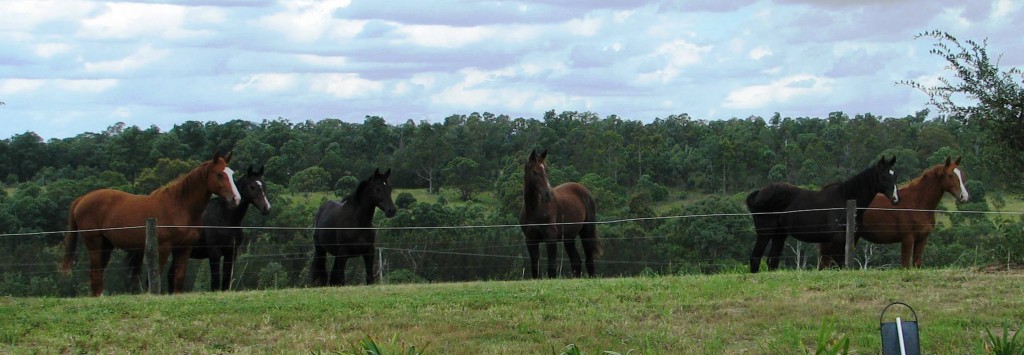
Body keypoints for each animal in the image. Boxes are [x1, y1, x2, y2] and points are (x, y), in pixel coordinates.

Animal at [61, 151, 239, 296]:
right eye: (219, 174)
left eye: (231, 173)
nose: (235, 199)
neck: (179, 206)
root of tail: (82, 199)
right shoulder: (163, 248)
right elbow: (156, 274)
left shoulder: (184, 248)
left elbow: (179, 277)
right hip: (95, 243)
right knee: (95, 273)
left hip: (106, 245)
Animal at [125, 165, 270, 292]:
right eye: (252, 186)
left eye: (263, 185)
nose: (266, 208)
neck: (225, 220)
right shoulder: (214, 253)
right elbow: (215, 282)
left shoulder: (231, 253)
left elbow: (225, 282)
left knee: (171, 275)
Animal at [520, 148, 598, 280]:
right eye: (534, 171)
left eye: (546, 169)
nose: (548, 194)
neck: (535, 209)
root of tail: (585, 191)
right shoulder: (530, 240)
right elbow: (535, 268)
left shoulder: (551, 239)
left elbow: (551, 268)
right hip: (568, 238)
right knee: (576, 262)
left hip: (586, 232)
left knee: (589, 260)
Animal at [745, 157, 897, 274]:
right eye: (883, 176)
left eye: (895, 176)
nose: (895, 199)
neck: (845, 199)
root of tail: (758, 194)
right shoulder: (837, 239)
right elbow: (838, 263)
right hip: (765, 233)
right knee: (755, 258)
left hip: (779, 235)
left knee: (772, 261)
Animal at [815, 157, 966, 268]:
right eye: (950, 175)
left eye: (961, 175)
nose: (964, 196)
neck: (918, 204)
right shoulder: (907, 239)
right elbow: (905, 265)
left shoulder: (922, 239)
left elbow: (917, 264)